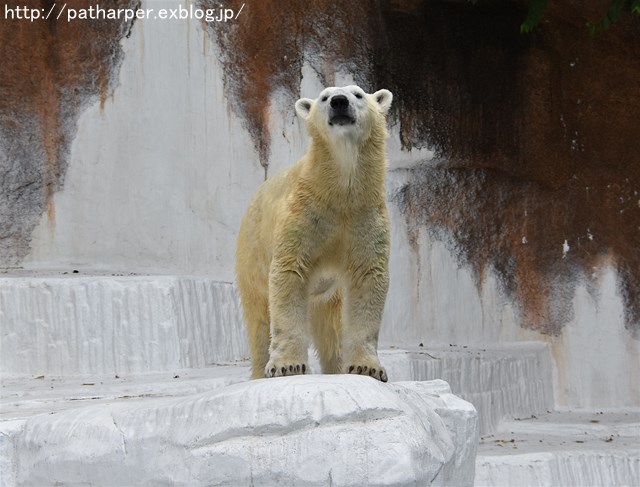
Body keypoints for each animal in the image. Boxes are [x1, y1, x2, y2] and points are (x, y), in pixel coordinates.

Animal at [238, 86, 392, 384]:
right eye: (324, 97)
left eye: (358, 94)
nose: (339, 102)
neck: (340, 193)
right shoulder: (303, 216)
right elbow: (289, 273)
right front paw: (286, 366)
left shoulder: (365, 218)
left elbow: (368, 278)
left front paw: (367, 367)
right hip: (252, 255)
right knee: (259, 318)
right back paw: (260, 371)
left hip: (328, 295)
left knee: (331, 329)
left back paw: (337, 367)